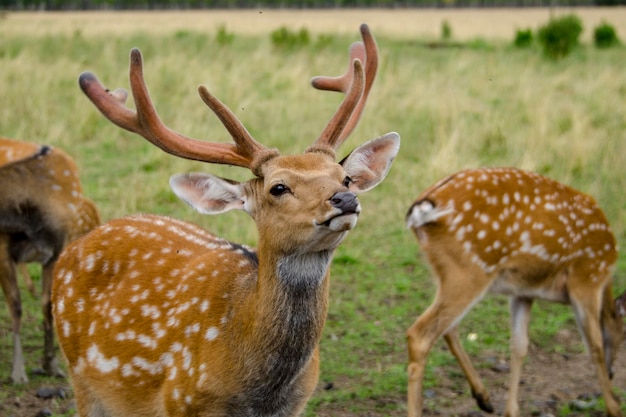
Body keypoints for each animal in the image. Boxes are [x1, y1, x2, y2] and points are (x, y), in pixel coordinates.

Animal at [0, 136, 100, 384]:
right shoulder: (2, 247)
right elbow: (15, 305)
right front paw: (18, 372)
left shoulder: (55, 249)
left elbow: (47, 304)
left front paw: (51, 365)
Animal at [51, 24, 398, 414]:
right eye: (278, 187)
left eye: (345, 178)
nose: (345, 199)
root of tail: (76, 246)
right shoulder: (181, 400)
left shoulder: (298, 403)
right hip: (82, 377)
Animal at [404, 167, 624, 416]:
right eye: (624, 333)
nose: (612, 372)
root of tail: (424, 207)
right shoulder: (587, 278)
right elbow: (595, 346)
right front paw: (614, 407)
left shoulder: (523, 292)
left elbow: (519, 347)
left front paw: (511, 411)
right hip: (470, 270)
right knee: (420, 334)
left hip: (445, 271)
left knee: (448, 328)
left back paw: (484, 398)